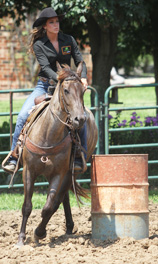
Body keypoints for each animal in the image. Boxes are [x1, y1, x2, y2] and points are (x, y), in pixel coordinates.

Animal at [16, 61, 97, 245]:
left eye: (83, 91)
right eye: (66, 90)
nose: (79, 119)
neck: (47, 135)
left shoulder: (59, 173)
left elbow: (48, 207)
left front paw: (39, 233)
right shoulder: (28, 171)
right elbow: (27, 206)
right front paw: (21, 239)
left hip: (70, 172)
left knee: (59, 199)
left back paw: (68, 227)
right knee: (63, 198)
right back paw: (68, 227)